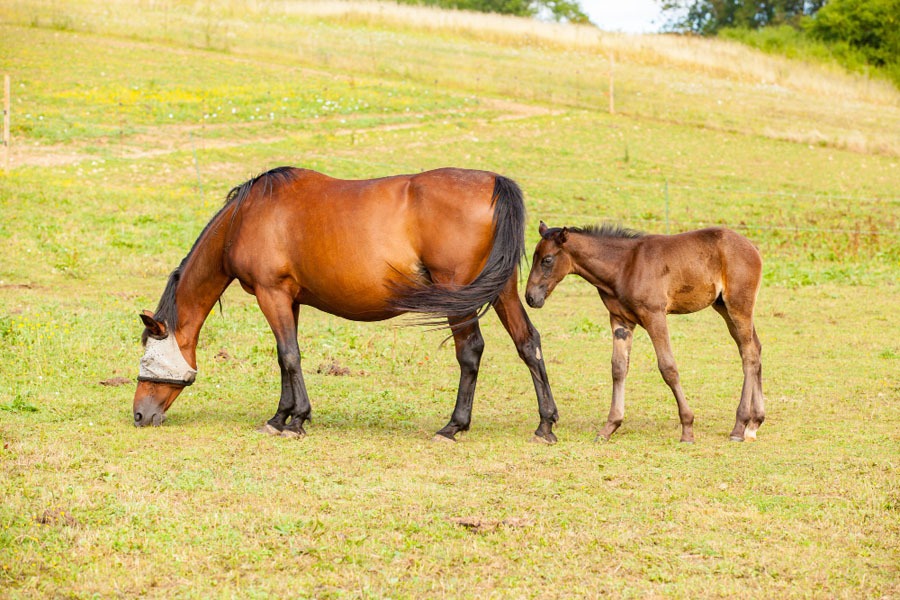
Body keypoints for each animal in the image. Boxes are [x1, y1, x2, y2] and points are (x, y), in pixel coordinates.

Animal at [134, 166, 560, 442]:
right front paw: (281, 415)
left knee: (471, 352)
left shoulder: (272, 294)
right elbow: (285, 358)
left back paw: (453, 426)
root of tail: (493, 182)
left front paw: (295, 420)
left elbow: (289, 356)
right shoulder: (289, 300)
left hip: (458, 293)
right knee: (528, 343)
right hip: (501, 289)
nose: (139, 414)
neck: (247, 216)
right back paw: (545, 424)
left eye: (147, 360)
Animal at [524, 223, 764, 442]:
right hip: (723, 307)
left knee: (749, 354)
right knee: (755, 348)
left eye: (547, 259)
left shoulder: (654, 316)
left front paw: (687, 429)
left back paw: (739, 426)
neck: (623, 265)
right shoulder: (620, 321)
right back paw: (754, 422)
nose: (530, 297)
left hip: (738, 305)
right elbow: (619, 368)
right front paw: (609, 427)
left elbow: (668, 368)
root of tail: (753, 248)